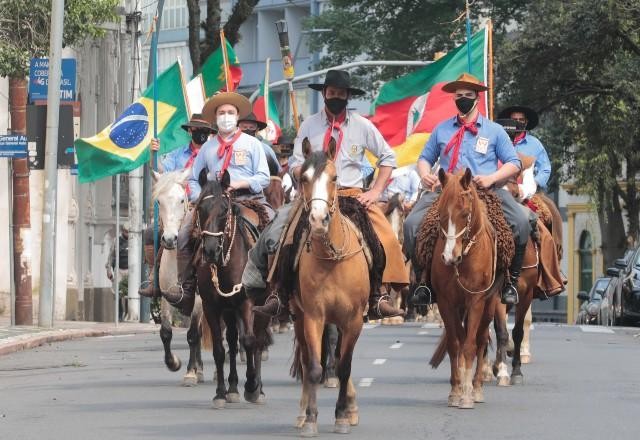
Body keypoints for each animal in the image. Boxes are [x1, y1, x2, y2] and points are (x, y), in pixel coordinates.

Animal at [151, 168, 211, 384]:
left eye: (181, 200)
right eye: (159, 201)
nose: (169, 239)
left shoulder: (199, 300)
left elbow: (192, 335)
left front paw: (190, 372)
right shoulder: (167, 296)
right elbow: (166, 332)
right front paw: (173, 363)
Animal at [196, 169, 274, 410]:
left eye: (224, 210)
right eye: (200, 208)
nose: (211, 250)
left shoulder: (246, 303)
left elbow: (249, 341)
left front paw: (251, 385)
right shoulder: (211, 307)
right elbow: (220, 350)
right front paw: (221, 393)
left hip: (262, 307)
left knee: (257, 340)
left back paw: (259, 389)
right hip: (229, 310)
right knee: (231, 339)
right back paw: (231, 388)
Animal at [292, 138, 370, 436]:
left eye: (334, 178)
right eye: (302, 178)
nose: (317, 220)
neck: (332, 260)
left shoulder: (354, 319)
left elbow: (345, 366)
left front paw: (341, 416)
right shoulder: (314, 316)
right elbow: (314, 367)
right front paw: (311, 419)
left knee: (338, 358)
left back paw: (350, 407)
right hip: (299, 316)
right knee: (306, 360)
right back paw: (302, 413)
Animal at [428, 168, 502, 410]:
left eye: (465, 213)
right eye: (441, 213)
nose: (449, 257)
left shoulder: (476, 300)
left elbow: (470, 345)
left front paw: (468, 393)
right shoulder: (446, 302)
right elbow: (455, 344)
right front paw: (455, 390)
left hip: (489, 305)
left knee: (481, 340)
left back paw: (477, 387)